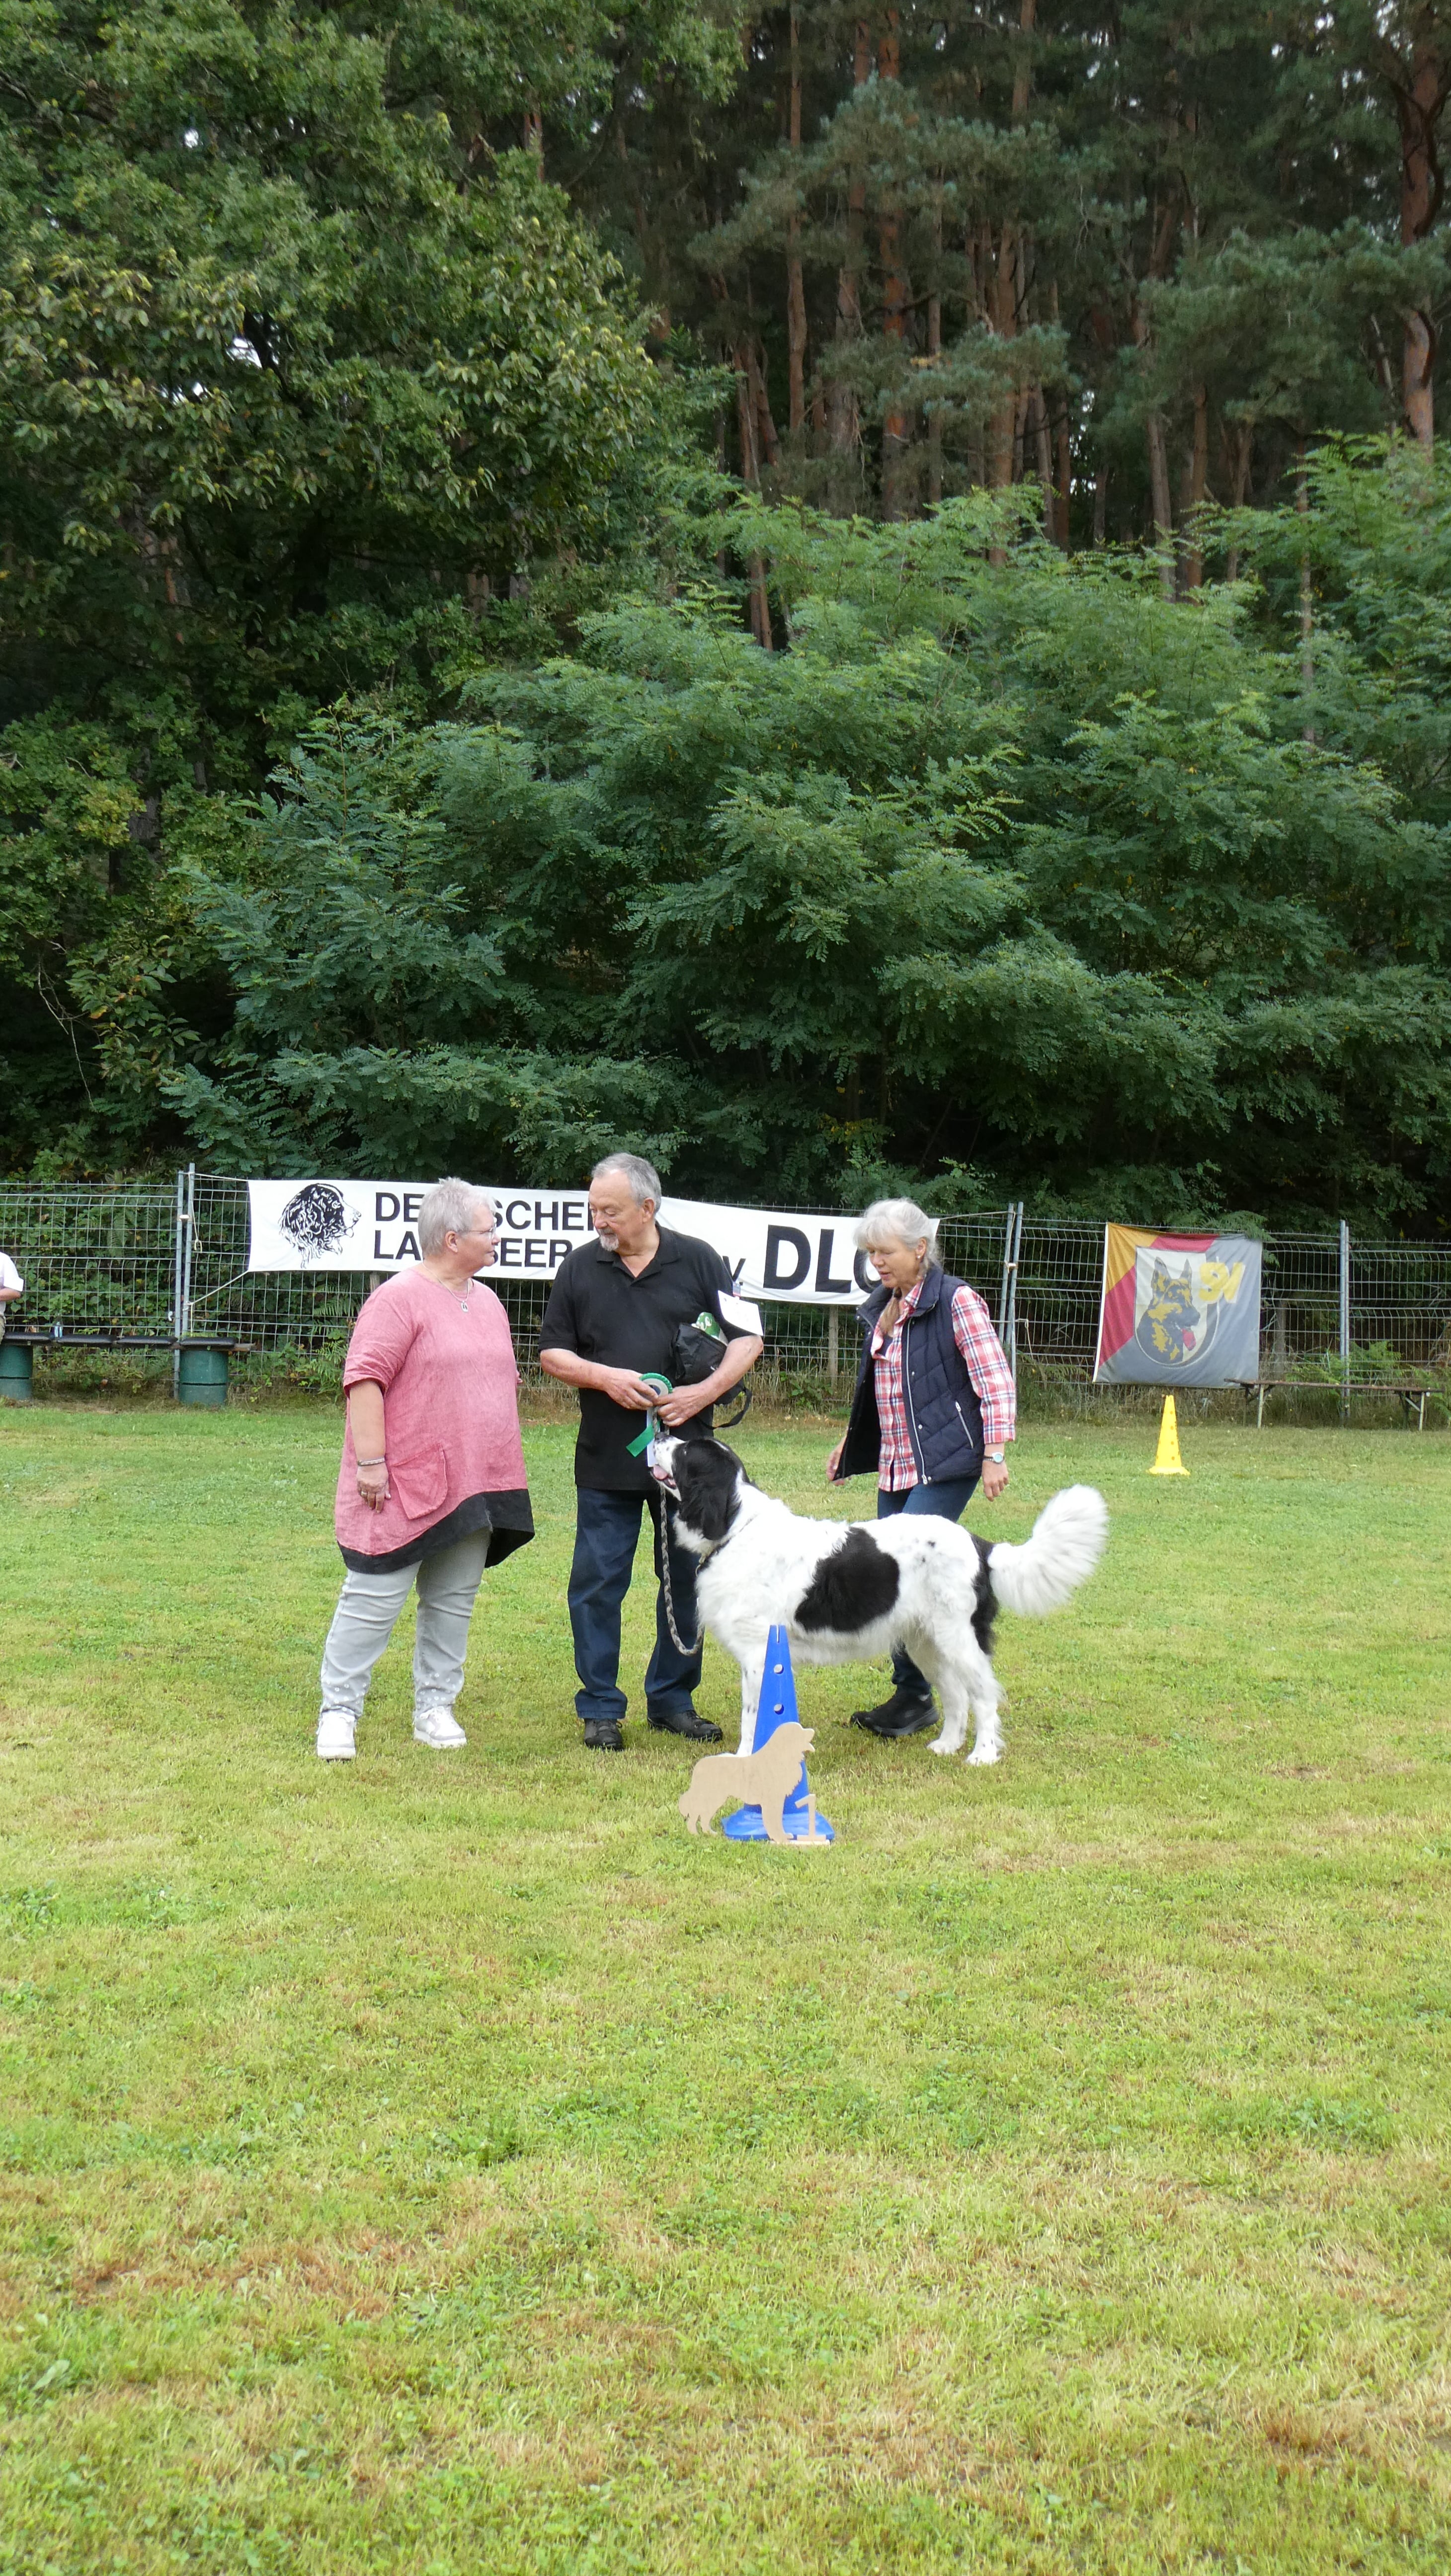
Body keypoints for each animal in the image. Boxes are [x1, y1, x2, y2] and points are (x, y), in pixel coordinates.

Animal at [652, 1432, 1108, 1772]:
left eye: (687, 1452)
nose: (657, 1434)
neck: (737, 1526)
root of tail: (981, 1545)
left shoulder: (757, 1655)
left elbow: (752, 1717)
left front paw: (746, 1760)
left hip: (958, 1639)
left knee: (982, 1695)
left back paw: (983, 1755)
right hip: (927, 1643)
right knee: (956, 1696)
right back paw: (946, 1746)